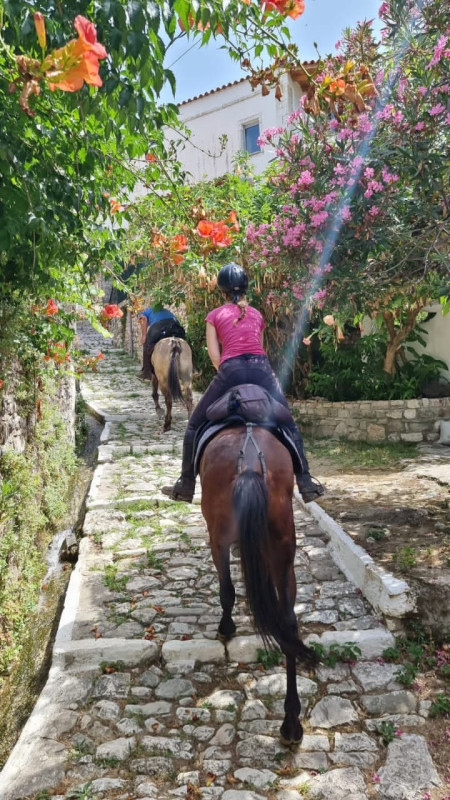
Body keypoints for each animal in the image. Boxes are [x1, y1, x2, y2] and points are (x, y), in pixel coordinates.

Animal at [199, 424, 318, 744]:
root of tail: (250, 463)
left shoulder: (218, 540)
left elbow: (226, 589)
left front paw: (227, 626)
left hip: (219, 534)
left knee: (227, 588)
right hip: (283, 546)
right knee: (288, 622)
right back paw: (291, 722)